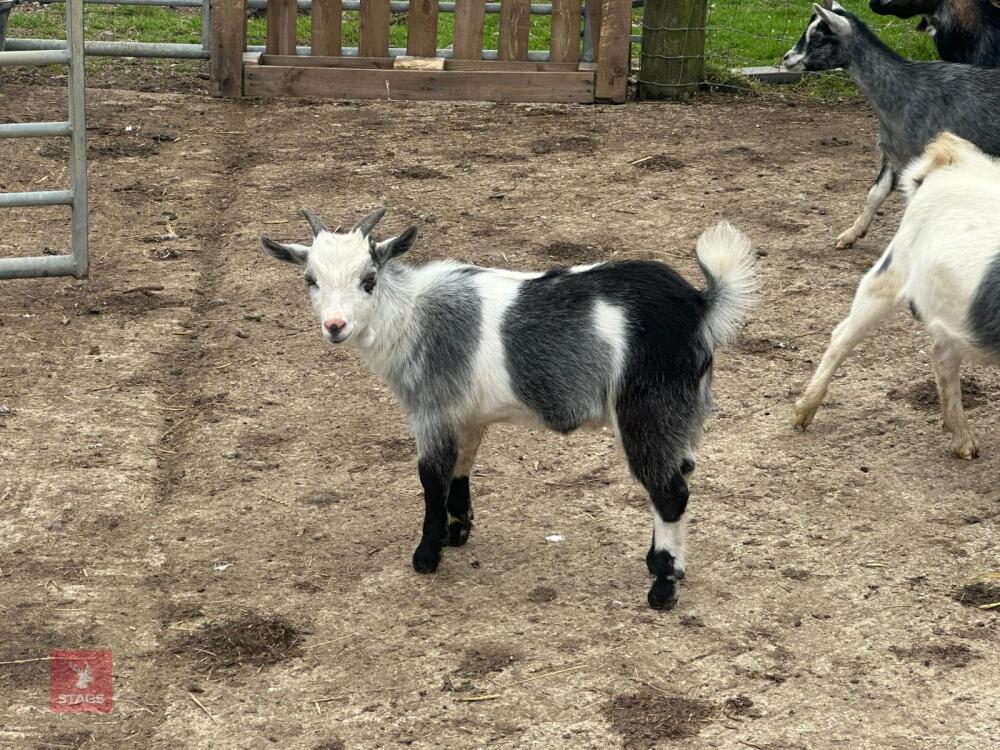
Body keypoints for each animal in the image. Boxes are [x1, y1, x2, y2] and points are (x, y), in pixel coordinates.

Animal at [261, 209, 758, 610]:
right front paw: (458, 530)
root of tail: (700, 305)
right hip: (684, 412)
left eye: (369, 279)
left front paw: (427, 554)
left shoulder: (431, 408)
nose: (335, 326)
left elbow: (431, 476)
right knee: (681, 472)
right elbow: (462, 466)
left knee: (669, 491)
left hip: (646, 410)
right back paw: (662, 565)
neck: (411, 314)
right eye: (310, 280)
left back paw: (662, 587)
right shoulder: (467, 415)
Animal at [792, 132, 1000, 459]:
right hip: (892, 269)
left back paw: (964, 443)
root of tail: (950, 157)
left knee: (942, 354)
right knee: (843, 334)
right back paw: (802, 415)